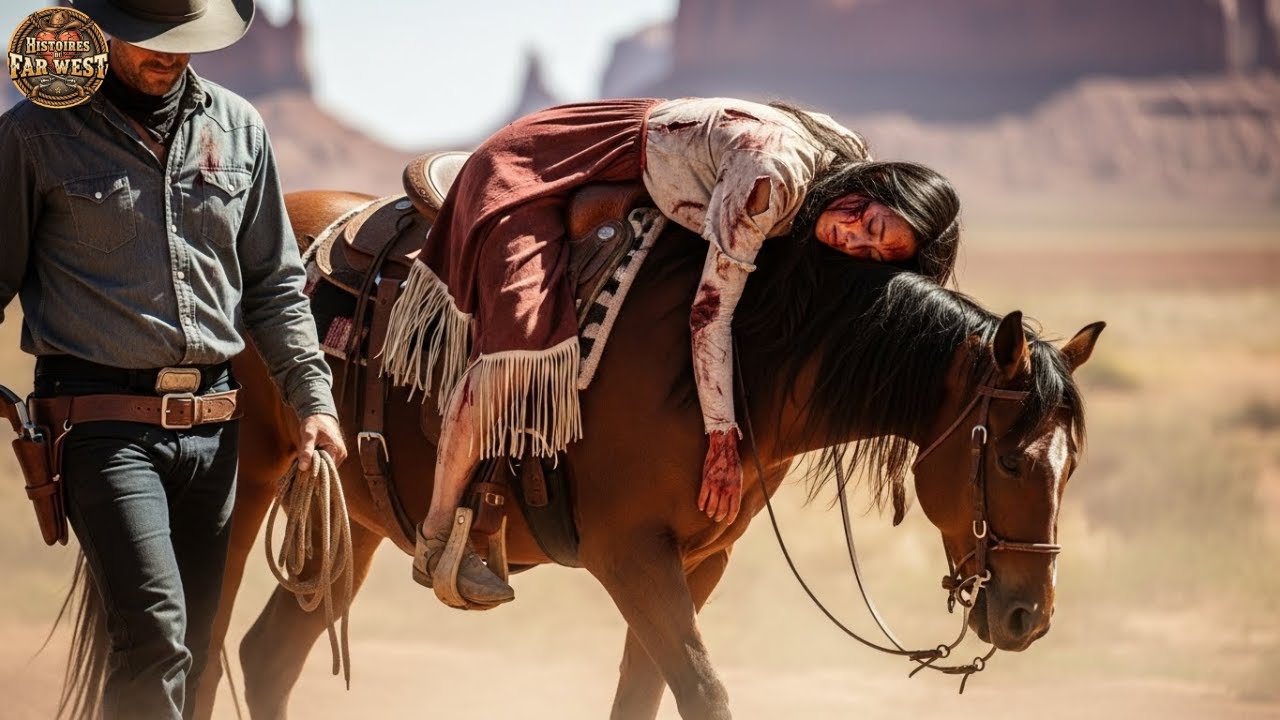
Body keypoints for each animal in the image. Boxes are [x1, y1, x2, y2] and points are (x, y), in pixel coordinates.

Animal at [63, 189, 1104, 720]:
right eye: (1013, 461)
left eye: (1070, 465)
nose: (1028, 616)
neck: (738, 357)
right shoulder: (629, 554)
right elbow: (704, 692)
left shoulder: (697, 563)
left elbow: (647, 694)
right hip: (241, 490)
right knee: (202, 656)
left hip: (352, 512)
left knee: (269, 654)